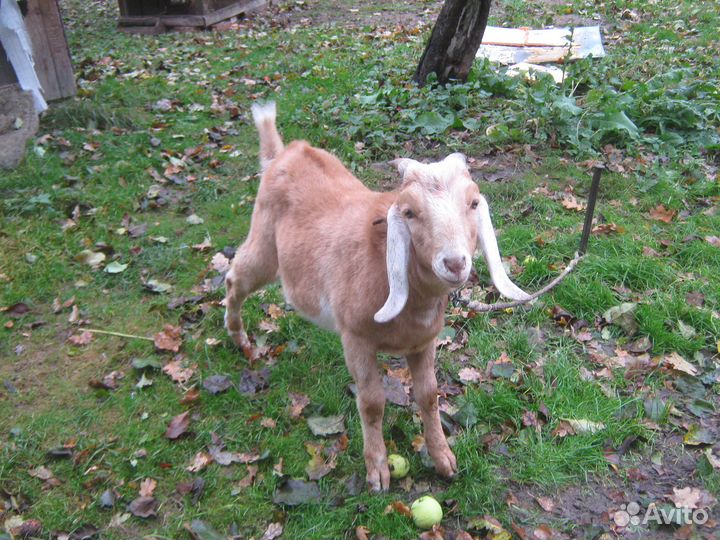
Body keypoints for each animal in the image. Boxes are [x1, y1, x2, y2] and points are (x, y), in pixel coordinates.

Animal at [224, 102, 532, 491]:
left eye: (474, 203)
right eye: (409, 212)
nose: (454, 263)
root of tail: (284, 153)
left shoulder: (424, 343)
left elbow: (429, 396)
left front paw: (443, 459)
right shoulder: (356, 338)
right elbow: (371, 402)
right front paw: (377, 471)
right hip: (264, 245)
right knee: (235, 277)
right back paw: (239, 338)